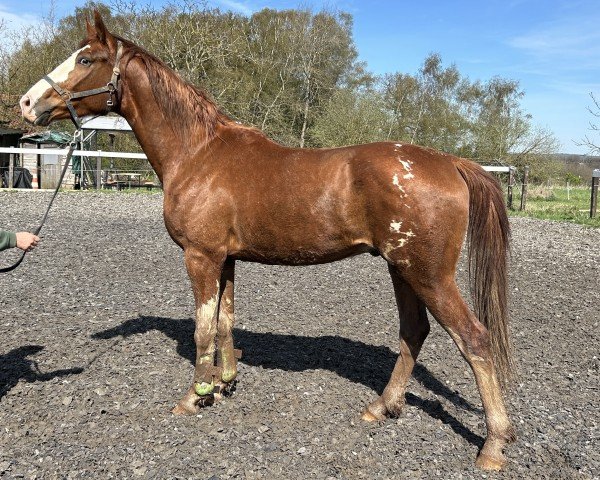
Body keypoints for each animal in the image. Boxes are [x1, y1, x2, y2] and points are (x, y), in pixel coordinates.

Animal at [19, 12, 516, 472]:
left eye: (86, 59)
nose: (27, 103)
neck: (198, 153)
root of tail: (450, 163)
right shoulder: (225, 259)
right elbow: (225, 323)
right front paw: (223, 384)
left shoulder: (200, 257)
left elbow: (203, 327)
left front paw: (194, 396)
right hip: (402, 269)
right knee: (415, 332)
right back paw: (382, 407)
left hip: (428, 274)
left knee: (474, 339)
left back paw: (493, 445)